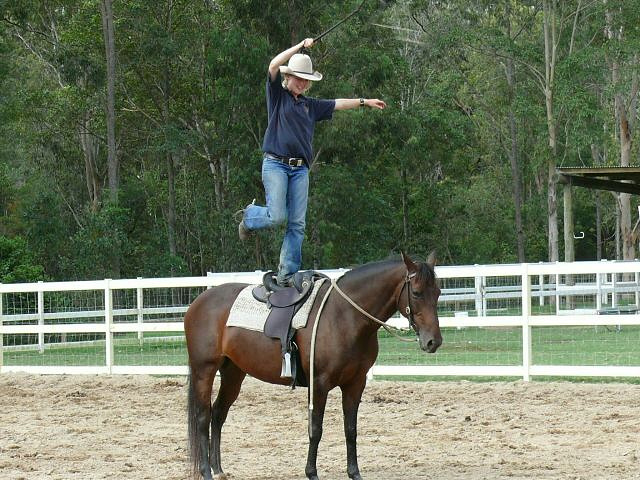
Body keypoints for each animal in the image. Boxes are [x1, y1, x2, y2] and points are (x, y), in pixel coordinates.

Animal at [186, 253, 440, 478]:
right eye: (416, 293)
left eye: (437, 293)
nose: (433, 341)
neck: (344, 315)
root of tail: (199, 301)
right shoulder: (319, 384)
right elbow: (316, 429)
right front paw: (311, 472)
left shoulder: (355, 384)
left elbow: (351, 429)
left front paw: (354, 473)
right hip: (204, 370)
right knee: (203, 416)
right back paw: (206, 471)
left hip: (233, 373)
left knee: (218, 414)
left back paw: (218, 469)